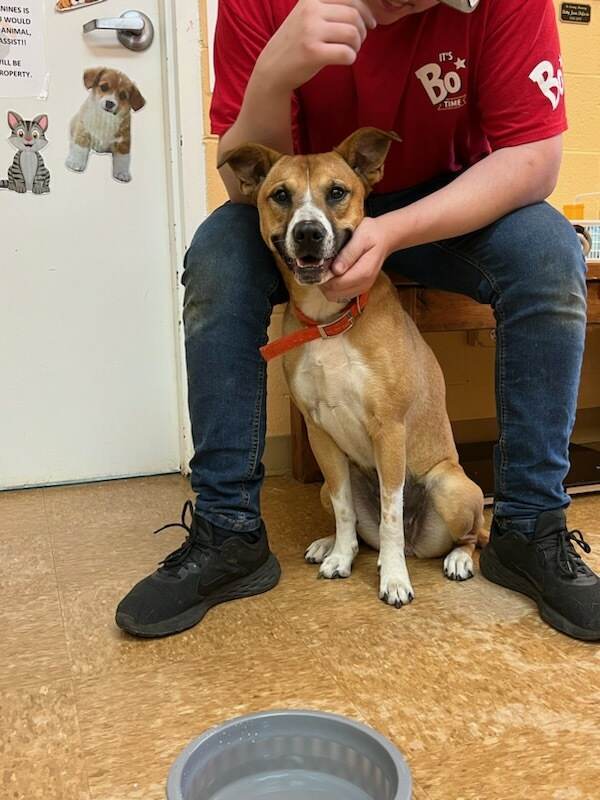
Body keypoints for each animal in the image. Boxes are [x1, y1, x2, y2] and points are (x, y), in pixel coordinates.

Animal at [221, 130, 488, 608]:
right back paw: (331, 544)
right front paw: (340, 556)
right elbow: (348, 513)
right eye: (280, 195)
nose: (308, 232)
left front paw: (395, 579)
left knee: (467, 535)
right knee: (364, 531)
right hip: (328, 486)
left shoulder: (389, 429)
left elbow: (390, 513)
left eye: (337, 192)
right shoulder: (320, 434)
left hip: (452, 487)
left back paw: (453, 559)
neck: (330, 320)